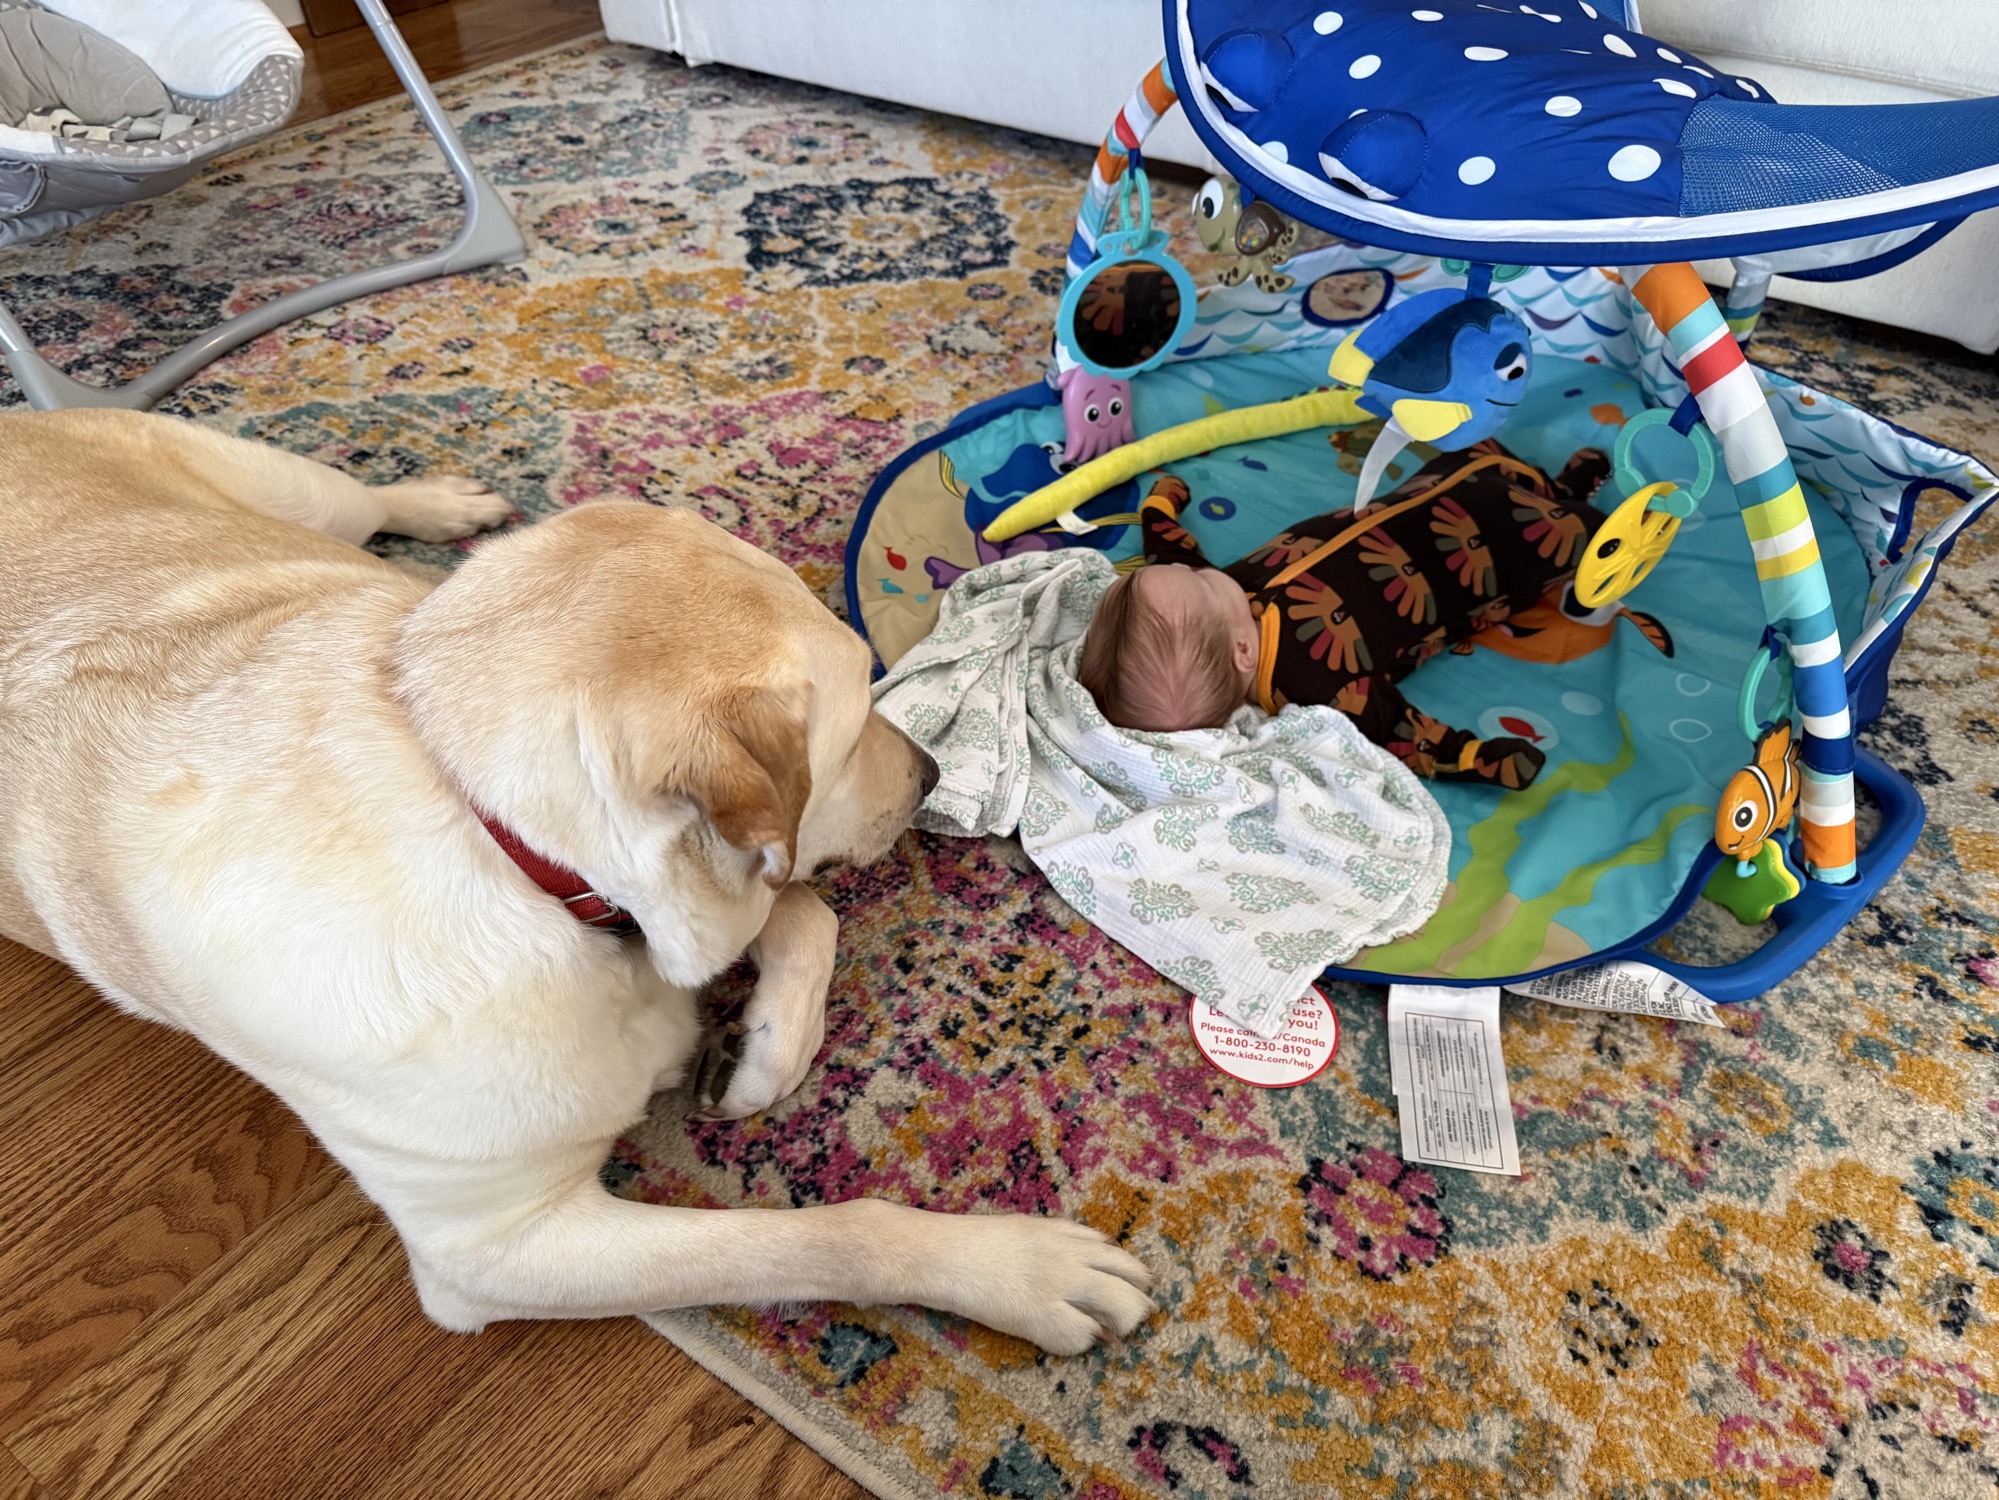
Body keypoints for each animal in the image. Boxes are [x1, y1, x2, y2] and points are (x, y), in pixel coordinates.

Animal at [0, 410, 1153, 1354]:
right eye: (855, 713)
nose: (927, 776)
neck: (494, 830)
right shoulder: (498, 1246)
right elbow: (813, 1236)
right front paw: (1016, 1270)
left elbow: (803, 912)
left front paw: (757, 1058)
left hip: (297, 502)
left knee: (360, 503)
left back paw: (442, 501)